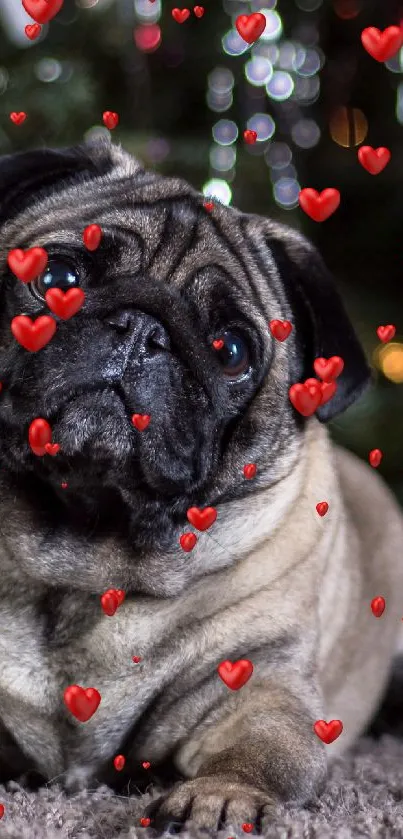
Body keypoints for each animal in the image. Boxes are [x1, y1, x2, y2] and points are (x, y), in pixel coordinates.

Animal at [0, 138, 403, 832]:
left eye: (231, 350)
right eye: (57, 281)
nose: (141, 329)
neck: (83, 554)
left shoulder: (258, 685)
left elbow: (263, 753)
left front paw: (220, 798)